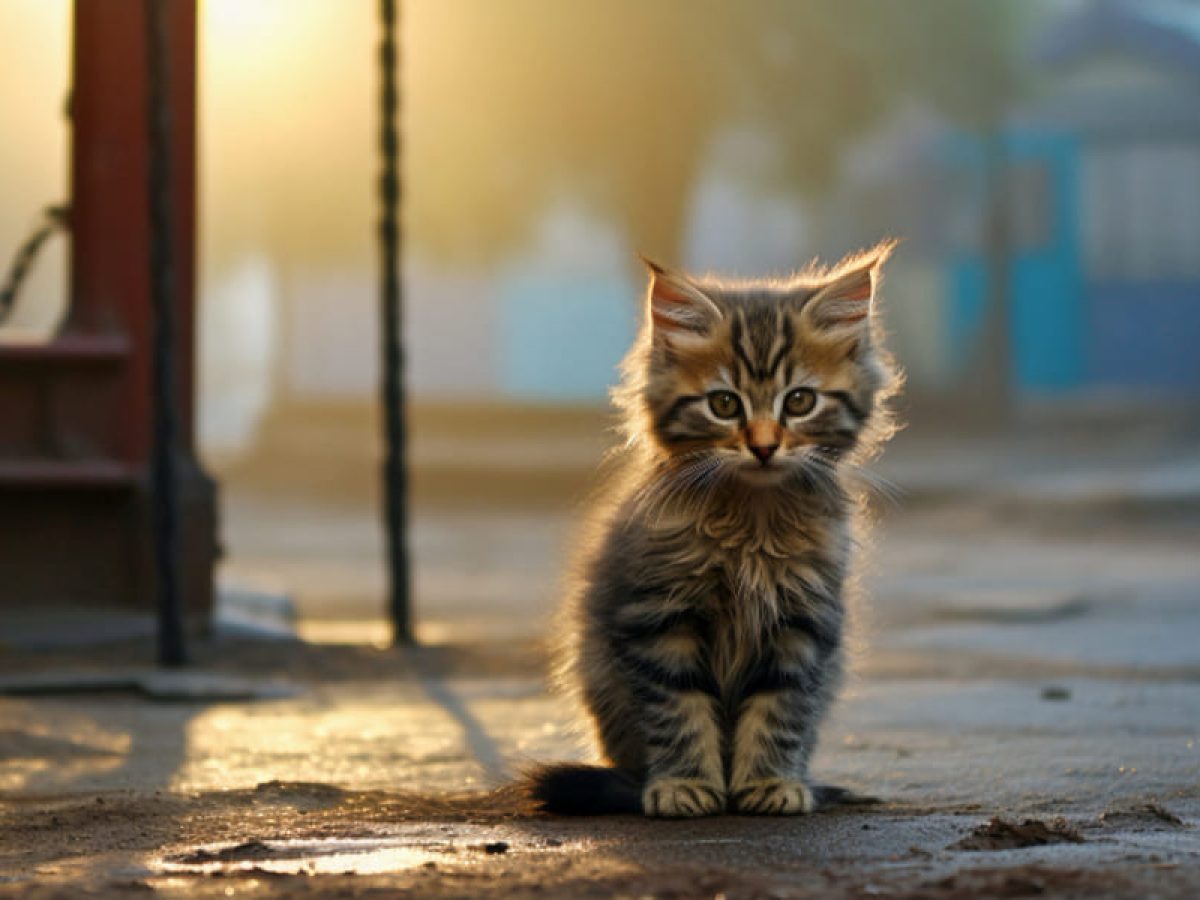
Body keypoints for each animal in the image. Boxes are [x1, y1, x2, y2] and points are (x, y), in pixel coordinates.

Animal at [535, 243, 902, 820]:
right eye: (725, 404)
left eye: (799, 402)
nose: (764, 446)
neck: (752, 521)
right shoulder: (659, 619)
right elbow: (678, 712)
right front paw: (683, 786)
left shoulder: (802, 623)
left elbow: (780, 712)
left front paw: (771, 783)